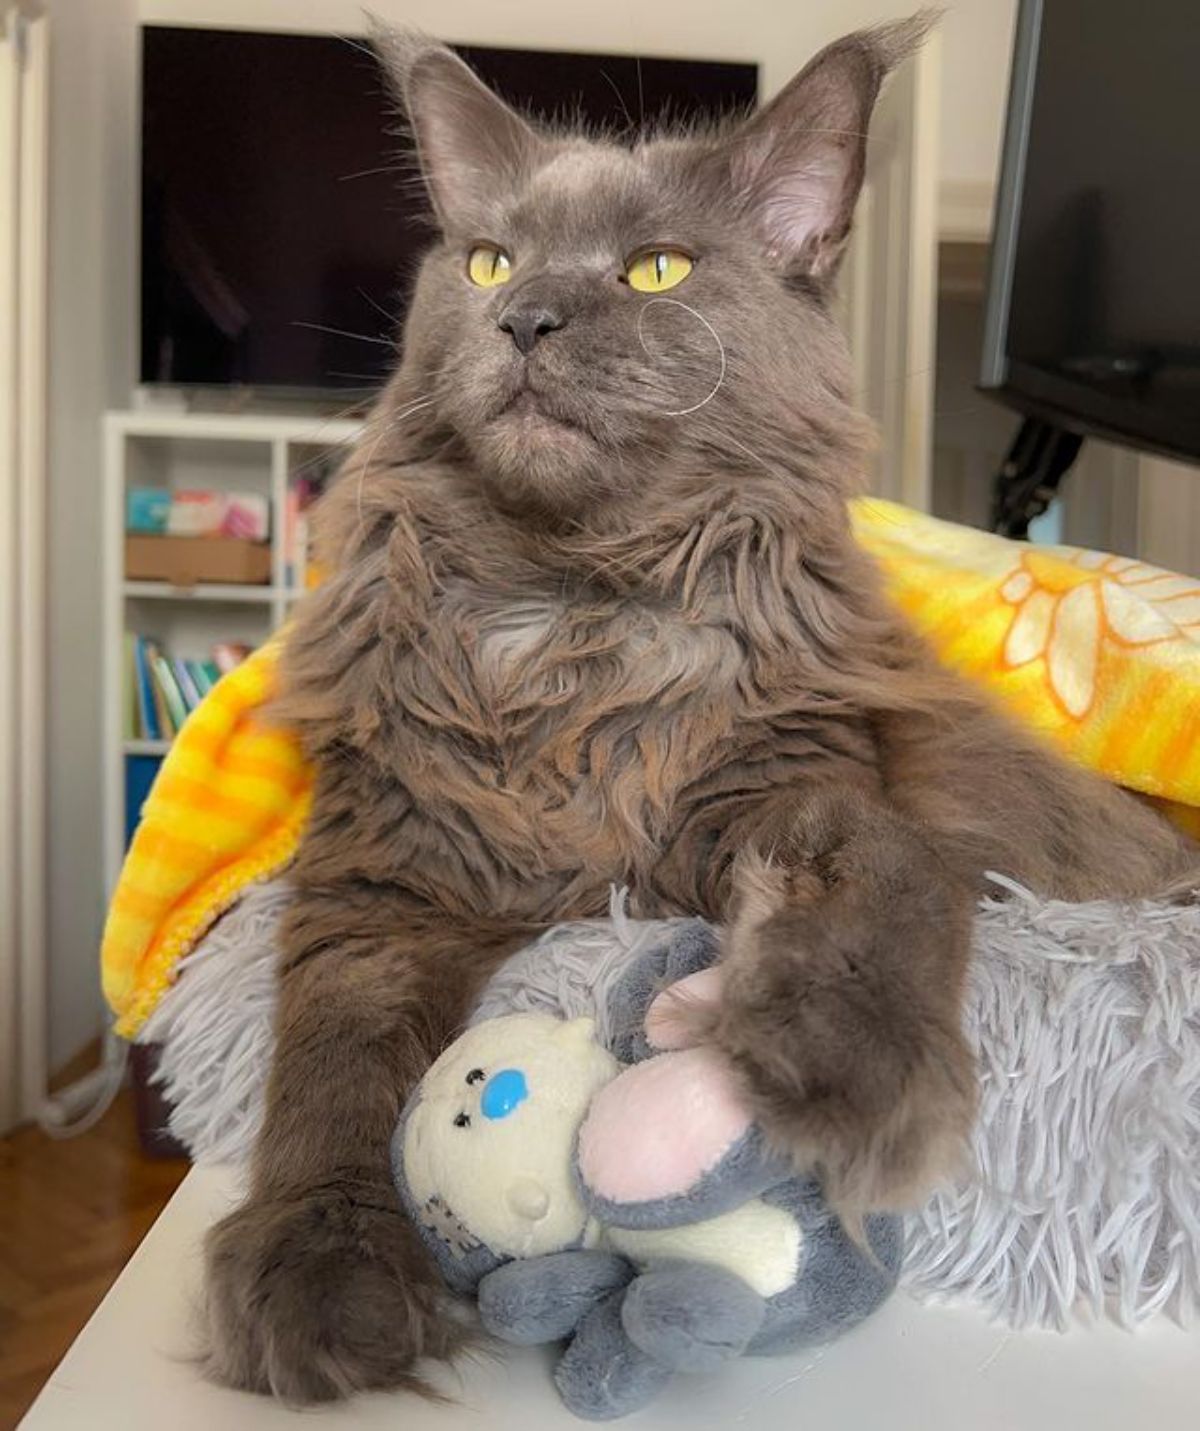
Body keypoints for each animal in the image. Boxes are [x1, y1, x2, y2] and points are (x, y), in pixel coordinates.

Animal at [201, 16, 1195, 1402]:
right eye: (490, 260)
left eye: (656, 270)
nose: (525, 318)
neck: (573, 613)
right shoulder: (383, 875)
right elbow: (335, 1060)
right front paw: (323, 1271)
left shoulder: (794, 791)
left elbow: (873, 885)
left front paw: (841, 1075)